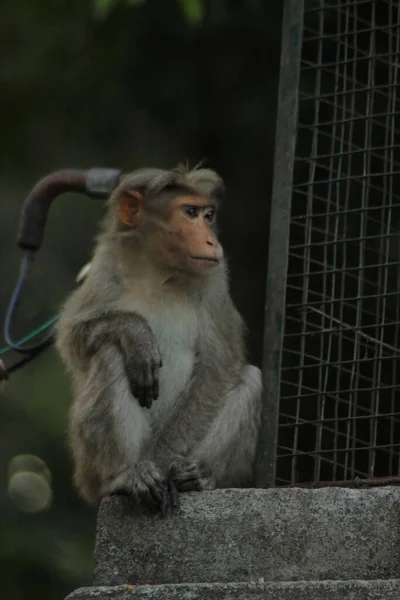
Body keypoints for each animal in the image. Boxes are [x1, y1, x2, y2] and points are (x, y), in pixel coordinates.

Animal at [56, 166, 262, 512]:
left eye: (208, 215)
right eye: (190, 213)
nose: (212, 240)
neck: (160, 270)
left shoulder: (216, 278)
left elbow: (219, 365)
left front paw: (164, 460)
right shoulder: (106, 263)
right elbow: (72, 336)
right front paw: (135, 333)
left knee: (250, 378)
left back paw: (197, 478)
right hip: (87, 470)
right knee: (110, 354)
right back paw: (123, 477)